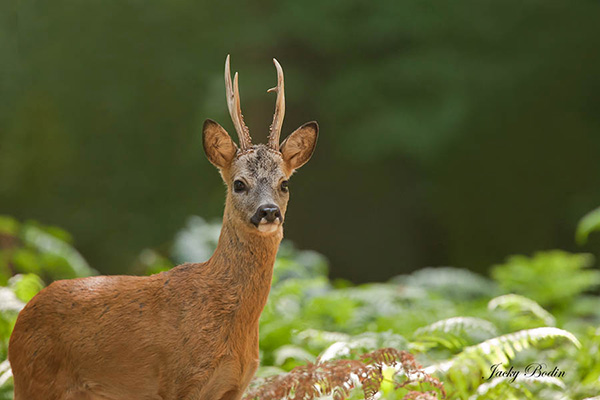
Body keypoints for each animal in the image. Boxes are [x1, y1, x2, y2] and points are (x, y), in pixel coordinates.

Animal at [8, 55, 318, 400]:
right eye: (239, 183)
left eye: (284, 183)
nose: (268, 212)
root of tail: (20, 318)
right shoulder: (180, 379)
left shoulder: (235, 386)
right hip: (35, 379)